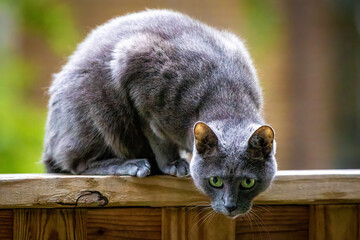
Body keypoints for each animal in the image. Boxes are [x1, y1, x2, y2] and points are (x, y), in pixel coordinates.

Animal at [43, 9, 278, 217]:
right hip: (98, 110)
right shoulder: (140, 81)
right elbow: (158, 137)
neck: (226, 94)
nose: (230, 206)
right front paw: (173, 165)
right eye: (215, 181)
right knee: (77, 162)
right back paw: (133, 164)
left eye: (248, 182)